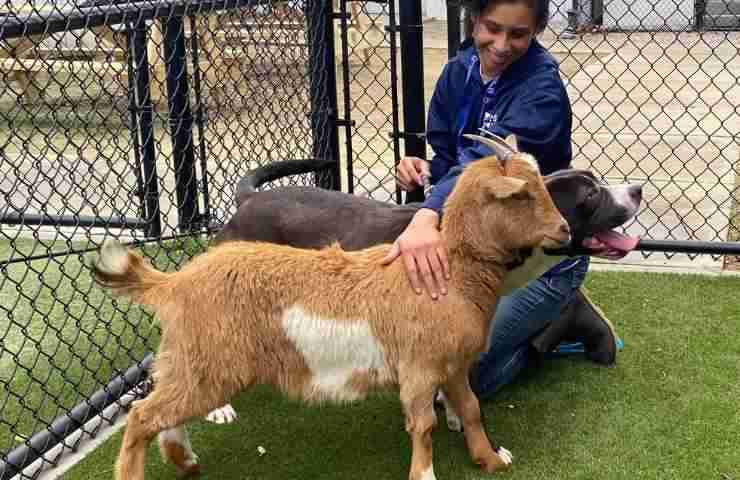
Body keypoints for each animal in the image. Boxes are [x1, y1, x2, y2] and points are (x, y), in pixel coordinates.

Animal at [89, 153, 568, 480]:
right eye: (522, 194)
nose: (563, 230)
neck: (449, 268)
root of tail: (173, 283)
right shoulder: (419, 368)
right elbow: (423, 425)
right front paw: (426, 474)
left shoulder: (450, 365)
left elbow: (470, 408)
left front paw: (491, 458)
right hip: (210, 365)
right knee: (143, 416)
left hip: (193, 362)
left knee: (159, 409)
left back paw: (185, 459)